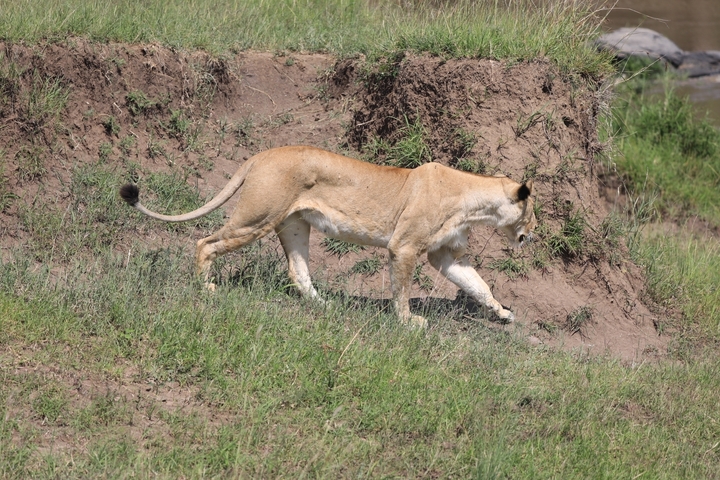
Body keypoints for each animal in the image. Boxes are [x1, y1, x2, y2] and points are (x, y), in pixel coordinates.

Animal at [120, 145, 536, 328]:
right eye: (533, 213)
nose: (532, 235)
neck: (475, 204)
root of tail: (264, 153)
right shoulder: (404, 247)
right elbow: (402, 289)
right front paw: (408, 322)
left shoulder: (446, 254)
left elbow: (479, 285)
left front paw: (503, 313)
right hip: (257, 215)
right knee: (205, 242)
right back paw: (206, 288)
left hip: (293, 225)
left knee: (298, 271)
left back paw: (326, 306)